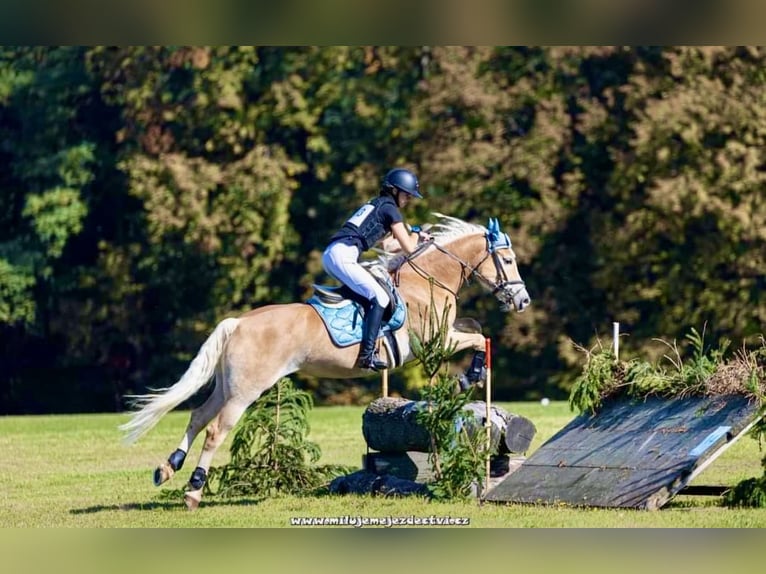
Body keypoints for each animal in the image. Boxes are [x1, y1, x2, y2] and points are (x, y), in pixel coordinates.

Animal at [118, 214, 536, 510]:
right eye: (508, 259)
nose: (523, 300)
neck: (427, 280)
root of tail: (239, 322)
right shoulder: (435, 340)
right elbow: (478, 336)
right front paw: (472, 375)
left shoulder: (444, 334)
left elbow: (476, 329)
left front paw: (472, 374)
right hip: (246, 390)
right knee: (216, 430)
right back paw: (193, 492)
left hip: (227, 384)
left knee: (198, 416)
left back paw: (167, 468)